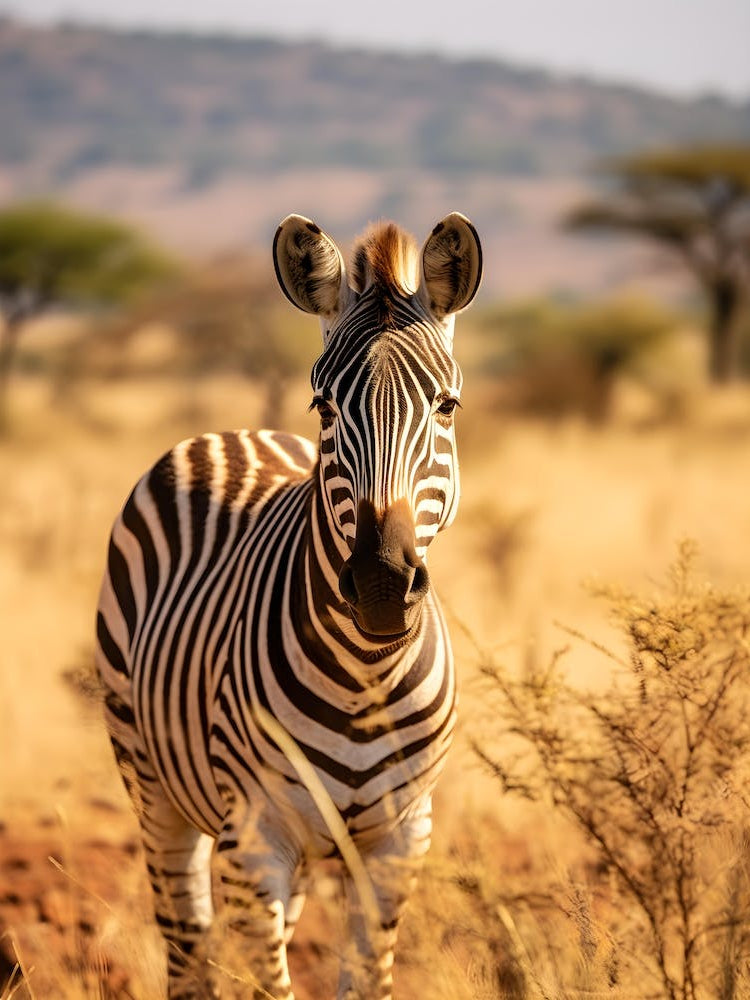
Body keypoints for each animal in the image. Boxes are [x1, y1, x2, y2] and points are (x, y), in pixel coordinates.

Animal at [95, 211, 482, 999]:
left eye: (447, 406)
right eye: (325, 406)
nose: (381, 584)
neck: (367, 674)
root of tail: (231, 434)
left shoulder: (400, 842)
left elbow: (365, 980)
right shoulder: (256, 839)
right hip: (150, 780)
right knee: (186, 941)